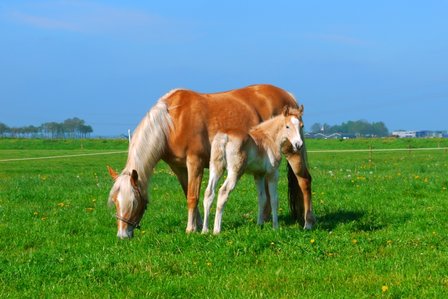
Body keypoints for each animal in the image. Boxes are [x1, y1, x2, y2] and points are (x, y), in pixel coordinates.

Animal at [202, 105, 304, 234]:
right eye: (287, 126)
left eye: (301, 126)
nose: (298, 145)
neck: (270, 138)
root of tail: (225, 136)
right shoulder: (272, 174)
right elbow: (274, 200)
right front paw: (275, 227)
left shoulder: (258, 175)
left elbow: (262, 198)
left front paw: (259, 225)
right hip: (235, 172)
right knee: (223, 192)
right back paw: (216, 230)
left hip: (216, 168)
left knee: (209, 193)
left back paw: (204, 230)